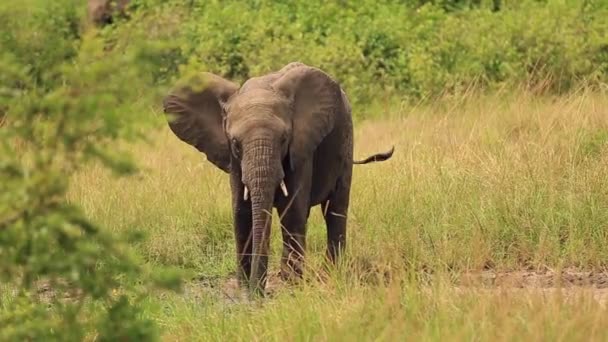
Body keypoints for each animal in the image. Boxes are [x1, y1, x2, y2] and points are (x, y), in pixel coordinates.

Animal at [162, 62, 394, 296]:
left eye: (283, 139)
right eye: (235, 143)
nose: (258, 293)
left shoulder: (301, 147)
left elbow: (291, 210)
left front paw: (292, 284)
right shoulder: (233, 159)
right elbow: (241, 212)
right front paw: (245, 289)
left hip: (346, 140)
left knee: (335, 208)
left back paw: (331, 273)